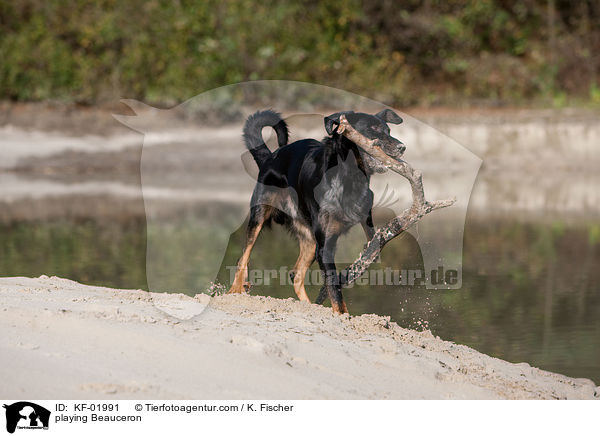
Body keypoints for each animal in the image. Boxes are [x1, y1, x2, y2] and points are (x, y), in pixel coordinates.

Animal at [227, 109, 406, 314]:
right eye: (373, 129)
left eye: (388, 130)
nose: (402, 147)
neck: (349, 177)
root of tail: (270, 157)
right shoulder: (325, 245)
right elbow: (334, 288)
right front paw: (342, 315)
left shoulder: (365, 219)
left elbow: (371, 247)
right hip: (259, 215)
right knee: (244, 255)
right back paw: (236, 289)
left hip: (311, 240)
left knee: (296, 274)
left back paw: (308, 306)